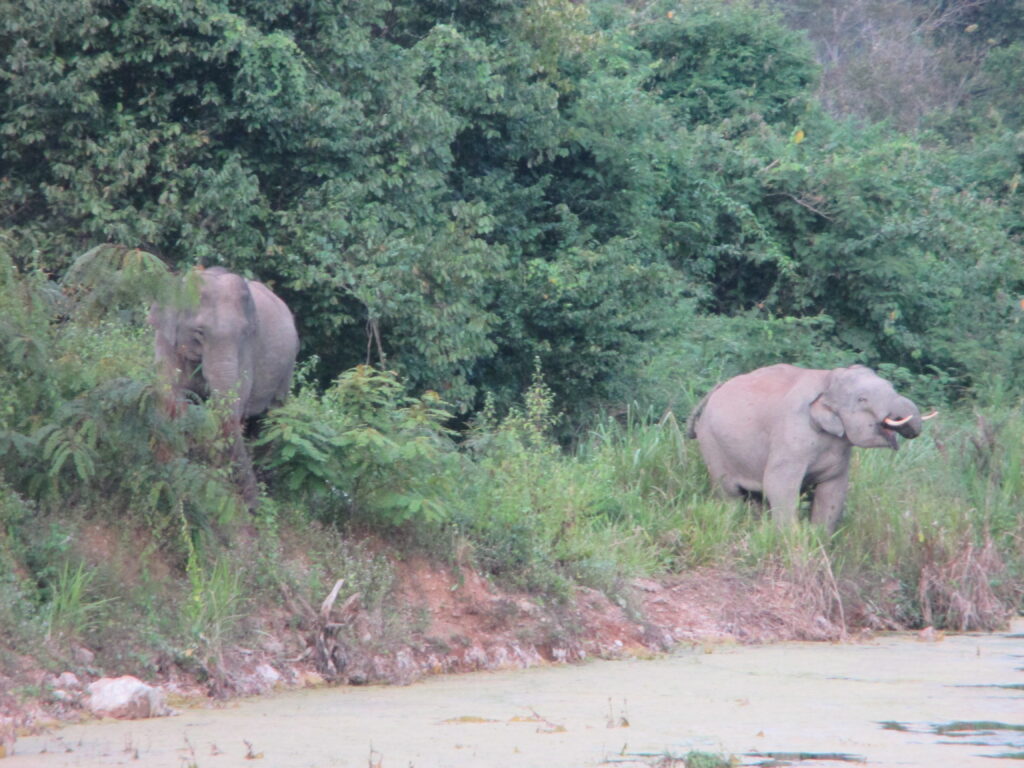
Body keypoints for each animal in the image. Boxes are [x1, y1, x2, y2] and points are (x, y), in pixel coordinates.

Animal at [148, 268, 299, 507]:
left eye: (245, 333)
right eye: (199, 332)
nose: (252, 506)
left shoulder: (247, 351)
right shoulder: (165, 342)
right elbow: (170, 394)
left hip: (286, 370)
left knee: (269, 420)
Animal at [688, 362, 937, 532]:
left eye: (890, 386)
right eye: (862, 400)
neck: (827, 378)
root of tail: (714, 390)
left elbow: (834, 490)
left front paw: (819, 537)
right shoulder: (792, 434)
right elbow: (778, 483)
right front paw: (792, 538)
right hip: (712, 444)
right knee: (729, 492)